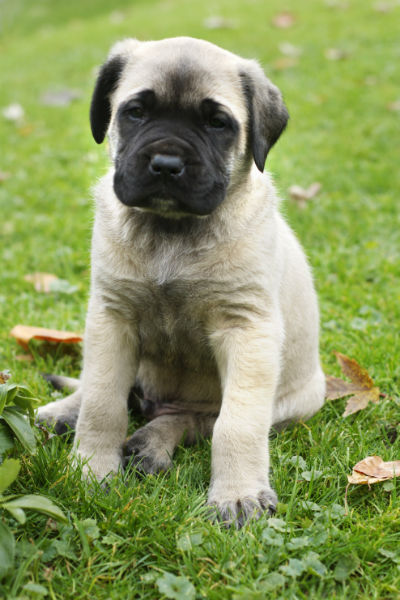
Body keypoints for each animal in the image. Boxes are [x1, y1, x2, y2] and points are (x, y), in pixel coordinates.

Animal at [36, 36, 324, 524]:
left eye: (217, 123)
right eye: (135, 112)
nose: (167, 164)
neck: (171, 231)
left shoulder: (246, 330)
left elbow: (236, 424)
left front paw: (237, 494)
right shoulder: (111, 319)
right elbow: (102, 401)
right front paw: (91, 467)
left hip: (295, 400)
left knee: (193, 419)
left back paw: (150, 445)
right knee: (106, 392)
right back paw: (64, 412)